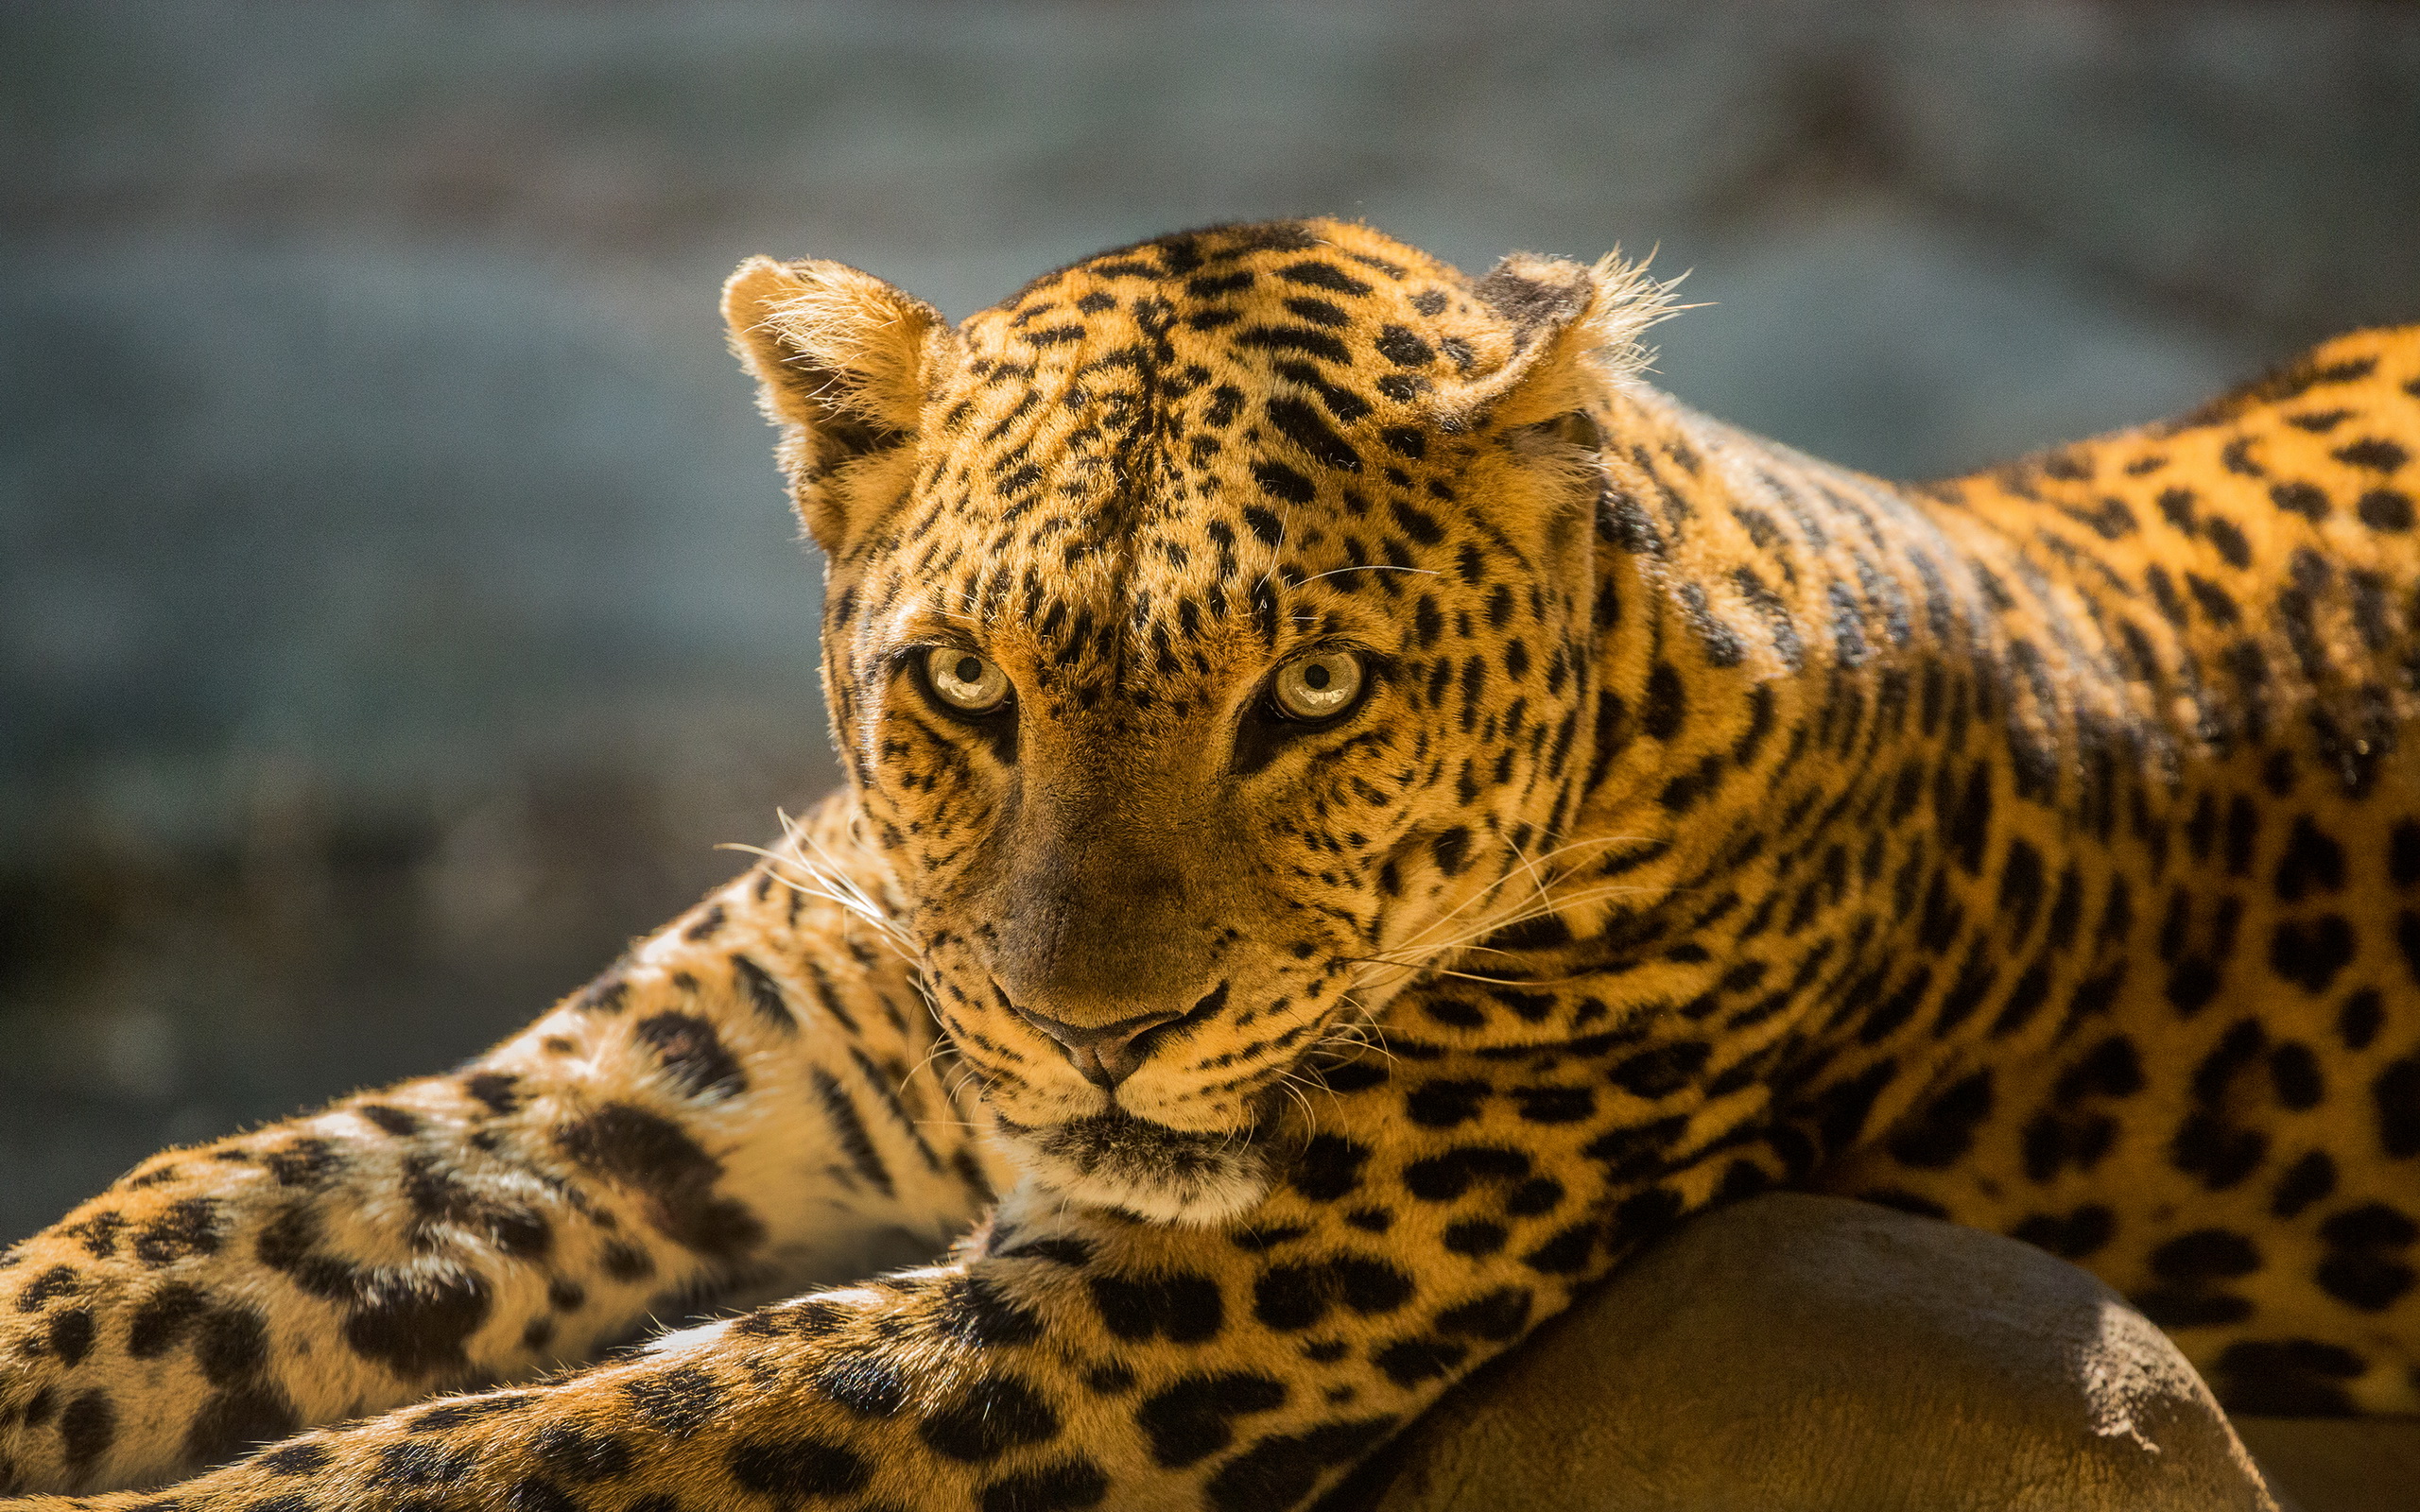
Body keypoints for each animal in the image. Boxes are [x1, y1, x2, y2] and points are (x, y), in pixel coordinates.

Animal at [5, 215, 2420, 1509]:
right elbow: (177, 1235)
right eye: (960, 682)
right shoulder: (653, 1082)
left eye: (1316, 690)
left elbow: (549, 1439)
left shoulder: (1119, 1326)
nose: (1099, 1033)